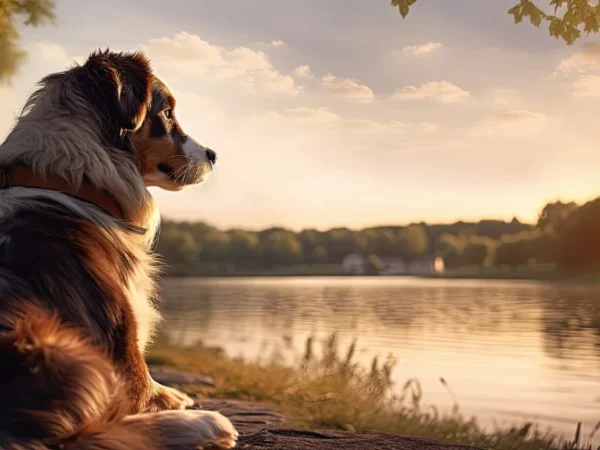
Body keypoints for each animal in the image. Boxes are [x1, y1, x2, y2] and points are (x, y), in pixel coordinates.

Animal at [0, 50, 238, 450]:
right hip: (49, 344)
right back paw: (207, 424)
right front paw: (182, 402)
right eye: (167, 113)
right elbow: (144, 395)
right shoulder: (124, 360)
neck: (75, 182)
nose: (213, 154)